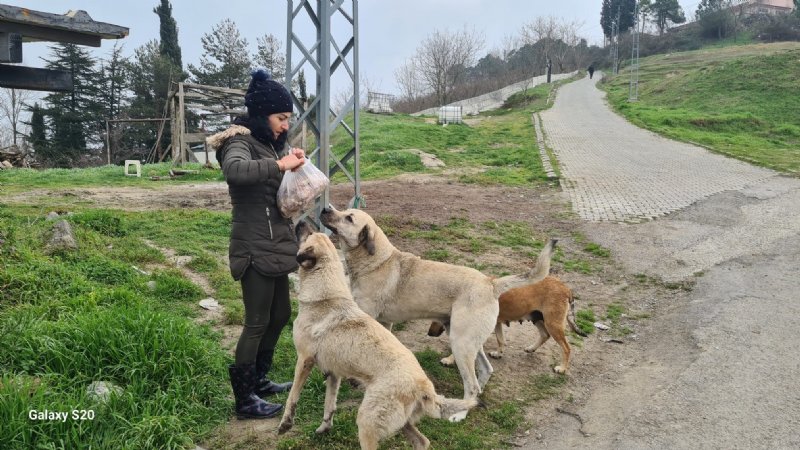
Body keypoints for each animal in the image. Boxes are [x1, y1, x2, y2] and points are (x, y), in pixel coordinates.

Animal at [280, 222, 478, 450]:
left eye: (309, 235)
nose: (302, 222)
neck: (326, 296)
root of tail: (423, 386)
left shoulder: (304, 360)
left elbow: (292, 397)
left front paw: (285, 424)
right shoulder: (334, 373)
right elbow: (330, 404)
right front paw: (324, 428)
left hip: (367, 422)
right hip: (402, 423)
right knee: (423, 441)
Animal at [318, 206, 556, 400]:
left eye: (349, 217)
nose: (324, 208)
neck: (377, 261)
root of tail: (490, 283)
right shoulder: (384, 324)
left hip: (461, 344)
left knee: (472, 385)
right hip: (468, 341)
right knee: (486, 371)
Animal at [432, 276, 588, 374]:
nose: (430, 333)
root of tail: (565, 287)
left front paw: (449, 360)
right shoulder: (497, 324)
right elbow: (501, 340)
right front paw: (498, 353)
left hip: (552, 324)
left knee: (566, 348)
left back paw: (562, 369)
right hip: (537, 318)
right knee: (544, 335)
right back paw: (531, 348)